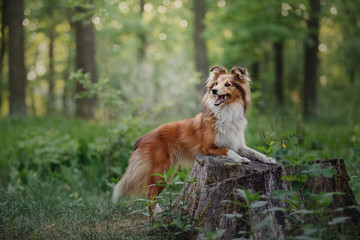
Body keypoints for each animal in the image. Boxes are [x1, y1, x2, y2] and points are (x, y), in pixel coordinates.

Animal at [112, 66, 276, 212]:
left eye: (227, 84)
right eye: (216, 84)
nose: (214, 91)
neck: (226, 112)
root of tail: (142, 138)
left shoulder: (238, 144)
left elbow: (254, 152)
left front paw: (268, 159)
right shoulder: (207, 147)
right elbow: (229, 151)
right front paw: (241, 159)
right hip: (160, 171)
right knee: (150, 196)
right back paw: (158, 217)